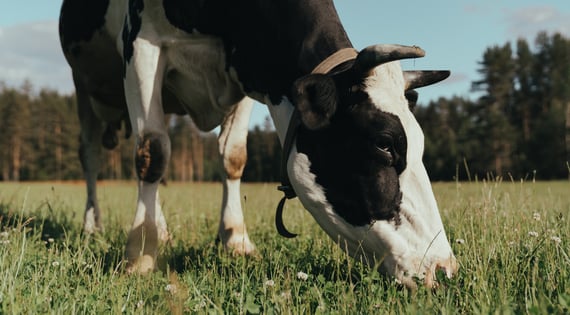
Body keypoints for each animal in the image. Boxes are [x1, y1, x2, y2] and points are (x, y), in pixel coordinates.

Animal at [58, 0, 458, 288]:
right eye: (384, 144)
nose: (444, 267)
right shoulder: (141, 44)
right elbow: (152, 152)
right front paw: (140, 252)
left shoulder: (248, 70)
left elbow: (233, 157)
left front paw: (236, 241)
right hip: (83, 84)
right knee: (95, 156)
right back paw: (94, 225)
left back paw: (163, 230)